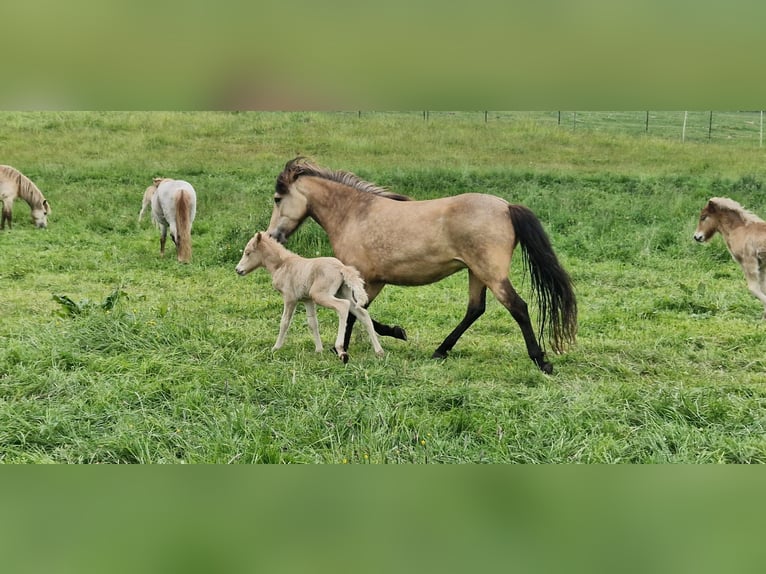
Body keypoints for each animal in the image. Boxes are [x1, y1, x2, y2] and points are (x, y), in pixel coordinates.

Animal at [234, 232, 388, 362]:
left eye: (248, 253)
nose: (238, 270)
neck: (282, 265)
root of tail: (342, 268)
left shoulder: (290, 298)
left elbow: (284, 322)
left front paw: (276, 348)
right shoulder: (307, 300)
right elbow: (313, 323)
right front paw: (319, 350)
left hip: (321, 295)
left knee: (343, 306)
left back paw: (340, 350)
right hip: (343, 293)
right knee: (362, 313)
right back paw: (379, 351)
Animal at [268, 158, 580, 376]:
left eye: (277, 199)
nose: (273, 236)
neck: (354, 214)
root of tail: (506, 207)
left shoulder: (366, 278)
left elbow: (357, 311)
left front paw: (359, 344)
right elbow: (359, 311)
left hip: (491, 274)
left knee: (518, 307)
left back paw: (541, 362)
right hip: (476, 273)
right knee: (475, 309)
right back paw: (440, 351)